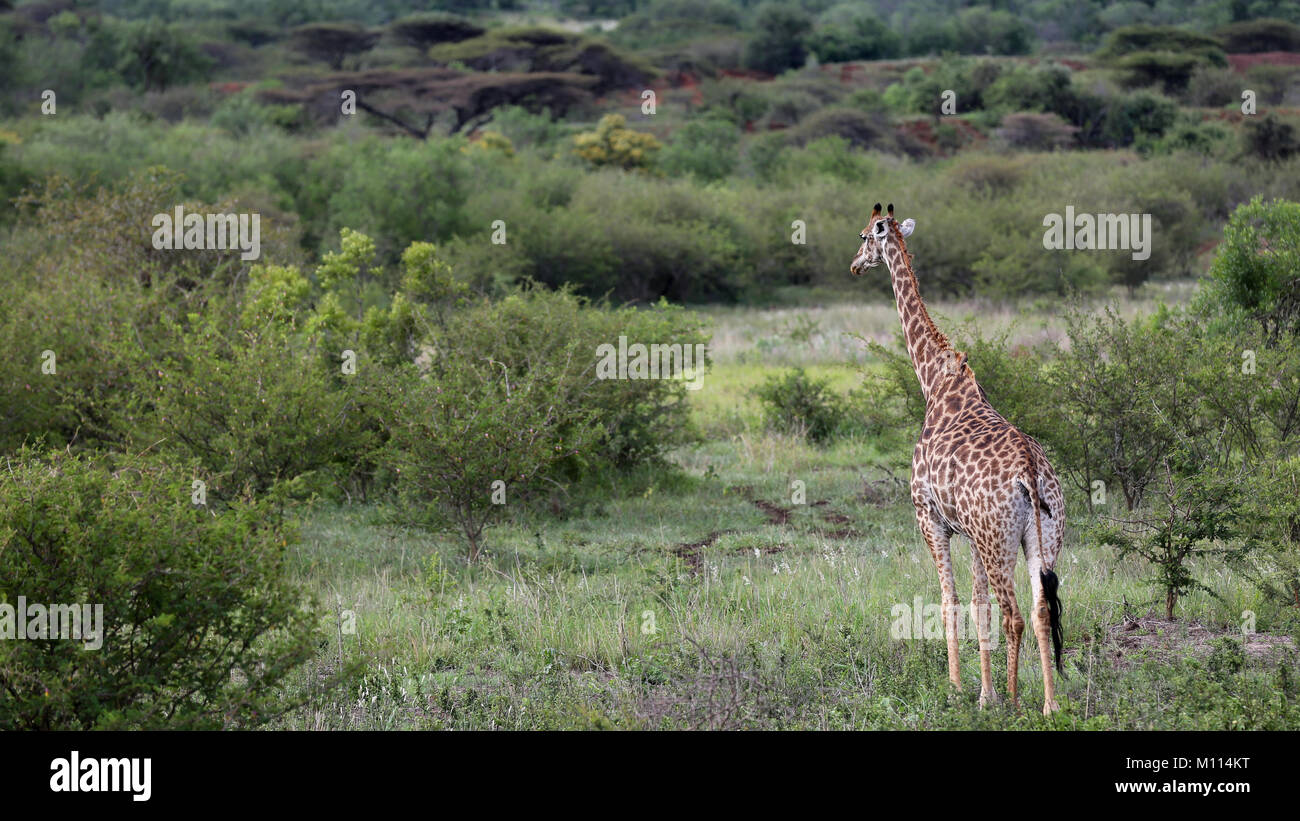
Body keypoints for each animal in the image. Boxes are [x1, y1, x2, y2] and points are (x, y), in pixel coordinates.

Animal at [852, 203, 1066, 711]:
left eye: (866, 236)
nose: (854, 265)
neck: (935, 382)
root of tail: (1030, 472)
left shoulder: (930, 517)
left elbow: (949, 600)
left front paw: (960, 688)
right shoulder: (969, 532)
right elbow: (976, 604)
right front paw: (985, 692)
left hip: (997, 539)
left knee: (1015, 614)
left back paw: (1015, 700)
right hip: (1040, 538)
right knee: (1040, 609)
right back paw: (1049, 704)